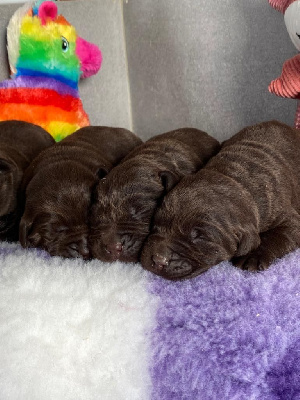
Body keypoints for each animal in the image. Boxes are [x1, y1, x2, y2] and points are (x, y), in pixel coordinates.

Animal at [141, 120, 300, 280]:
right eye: (156, 223)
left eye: (200, 237)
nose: (158, 259)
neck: (234, 178)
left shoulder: (289, 220)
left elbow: (275, 236)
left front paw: (252, 256)